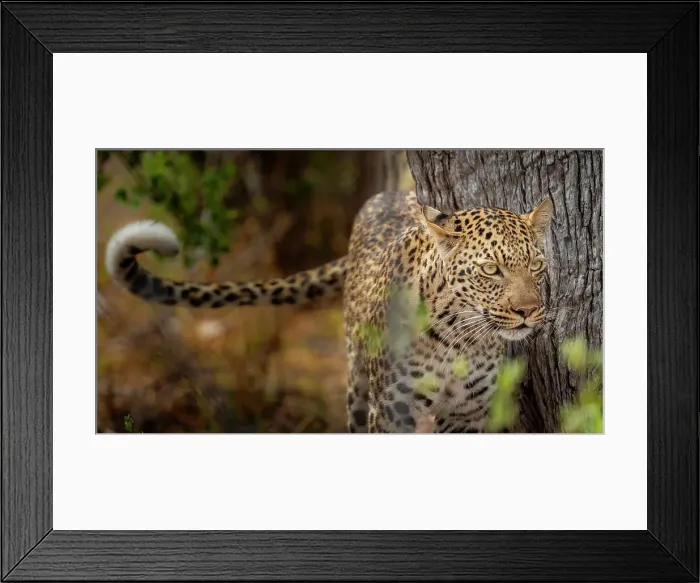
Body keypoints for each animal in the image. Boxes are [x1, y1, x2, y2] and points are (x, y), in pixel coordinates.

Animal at [105, 190, 553, 433]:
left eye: (536, 265)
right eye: (491, 270)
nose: (529, 311)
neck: (458, 341)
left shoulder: (468, 414)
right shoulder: (393, 411)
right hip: (357, 389)